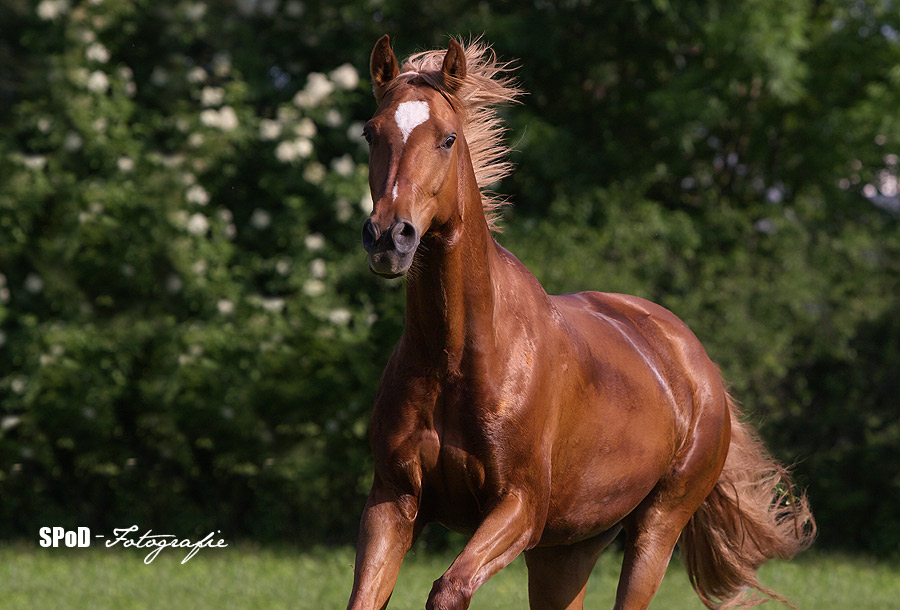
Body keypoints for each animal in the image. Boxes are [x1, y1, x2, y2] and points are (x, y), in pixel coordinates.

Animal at [350, 38, 816, 608]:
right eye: (371, 131)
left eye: (448, 138)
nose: (388, 237)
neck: (456, 355)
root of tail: (698, 364)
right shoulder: (393, 501)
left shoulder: (520, 507)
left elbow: (449, 589)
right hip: (567, 550)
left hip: (657, 529)